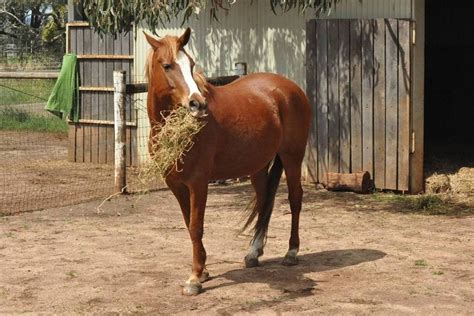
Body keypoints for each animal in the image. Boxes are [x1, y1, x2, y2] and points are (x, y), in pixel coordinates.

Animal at [144, 28, 312, 296]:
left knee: (295, 200)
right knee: (265, 203)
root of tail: (290, 88)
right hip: (258, 166)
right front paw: (203, 270)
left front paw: (195, 278)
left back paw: (291, 252)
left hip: (293, 157)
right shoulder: (176, 184)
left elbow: (196, 226)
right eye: (167, 65)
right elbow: (188, 223)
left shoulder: (198, 182)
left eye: (191, 64)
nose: (197, 104)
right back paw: (254, 253)